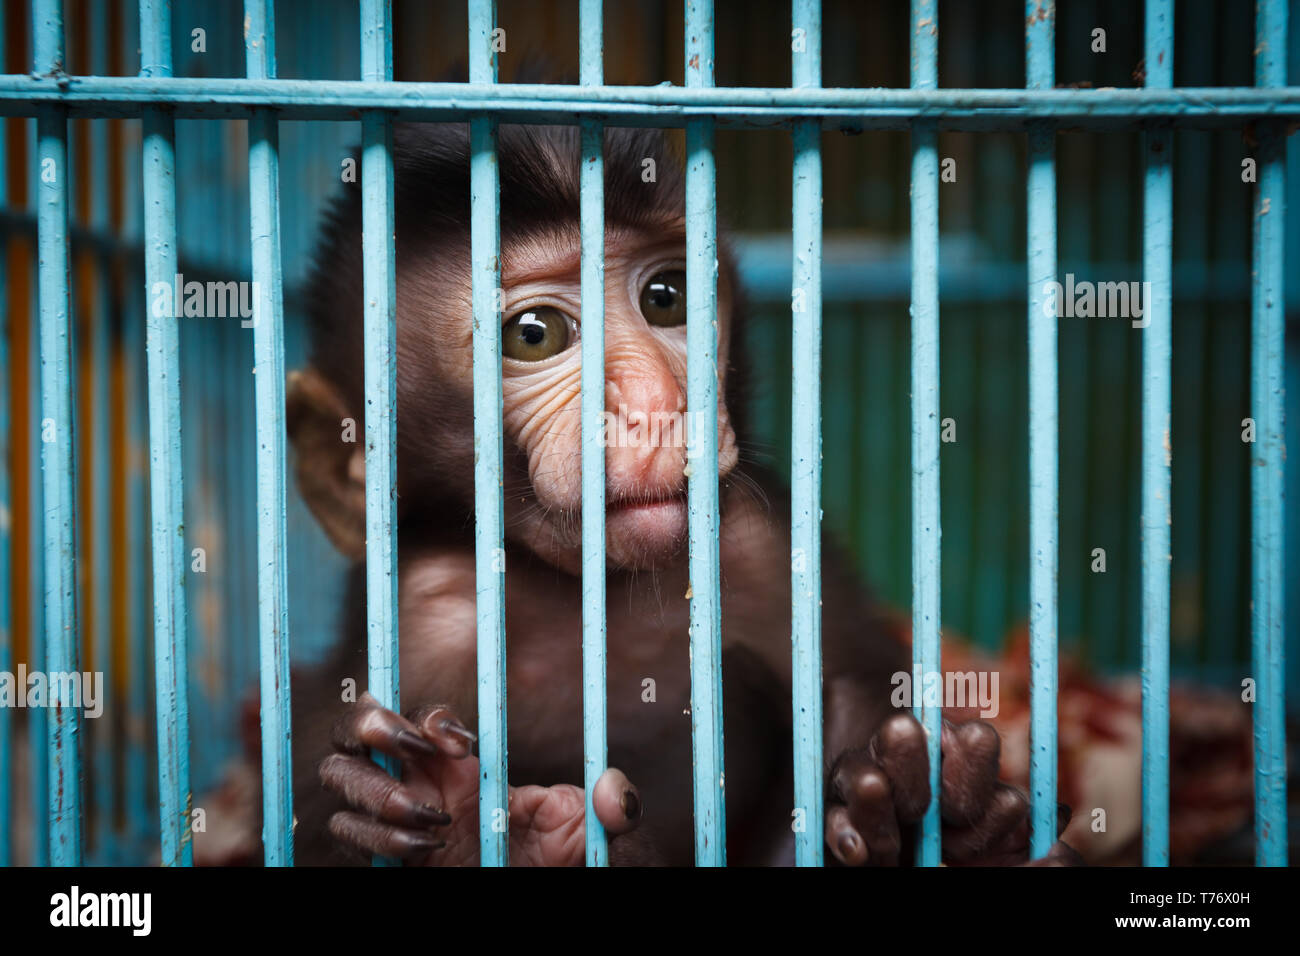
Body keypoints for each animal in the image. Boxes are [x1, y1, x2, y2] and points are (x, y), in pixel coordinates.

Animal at [276, 120, 1080, 866]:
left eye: (667, 298)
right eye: (534, 334)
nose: (658, 406)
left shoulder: (765, 546)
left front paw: (951, 820)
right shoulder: (426, 613)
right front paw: (469, 825)